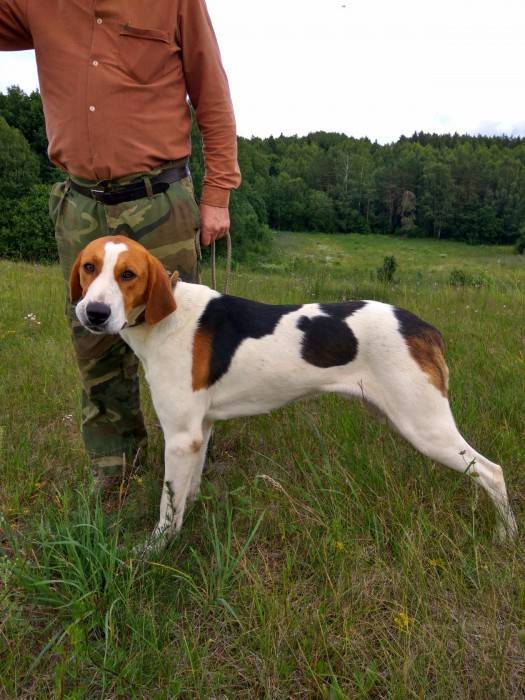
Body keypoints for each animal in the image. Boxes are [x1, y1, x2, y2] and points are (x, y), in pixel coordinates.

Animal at [69, 235, 516, 548]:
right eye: (89, 267)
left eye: (129, 275)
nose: (95, 313)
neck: (165, 316)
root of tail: (423, 328)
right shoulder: (199, 431)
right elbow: (186, 493)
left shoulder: (180, 437)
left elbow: (168, 507)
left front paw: (154, 550)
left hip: (425, 426)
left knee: (492, 471)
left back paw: (506, 536)